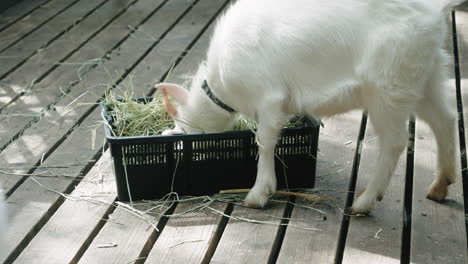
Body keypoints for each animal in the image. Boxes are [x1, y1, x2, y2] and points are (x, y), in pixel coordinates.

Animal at [156, 0, 460, 213]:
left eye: (183, 127)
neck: (221, 82)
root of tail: (434, 13)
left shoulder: (268, 97)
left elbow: (264, 141)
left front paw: (258, 194)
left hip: (389, 86)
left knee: (394, 142)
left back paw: (364, 203)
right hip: (425, 74)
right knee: (445, 119)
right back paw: (440, 185)